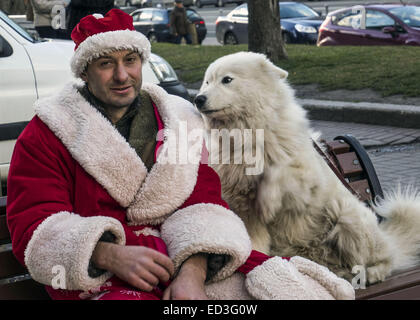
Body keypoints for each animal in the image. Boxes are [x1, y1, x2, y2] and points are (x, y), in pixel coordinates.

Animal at [195, 51, 420, 284]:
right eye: (207, 82)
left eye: (227, 80)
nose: (198, 99)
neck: (246, 135)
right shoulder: (244, 209)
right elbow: (254, 240)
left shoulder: (305, 185)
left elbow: (278, 173)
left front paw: (268, 200)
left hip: (347, 217)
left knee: (382, 259)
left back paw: (371, 273)